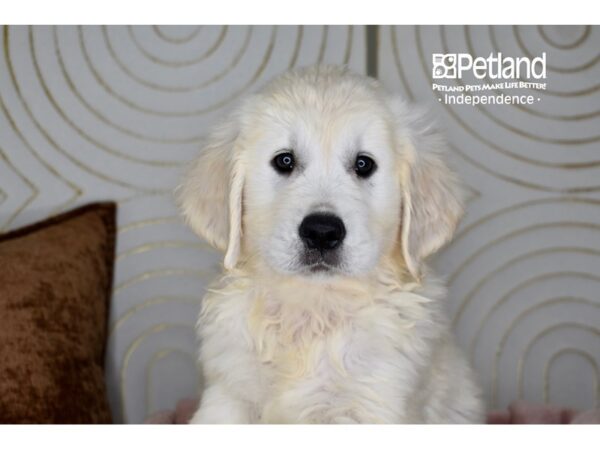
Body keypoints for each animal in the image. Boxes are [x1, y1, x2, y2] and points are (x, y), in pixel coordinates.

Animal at [177, 65, 482, 424]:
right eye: (284, 161)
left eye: (364, 164)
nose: (322, 232)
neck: (314, 308)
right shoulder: (229, 394)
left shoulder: (375, 400)